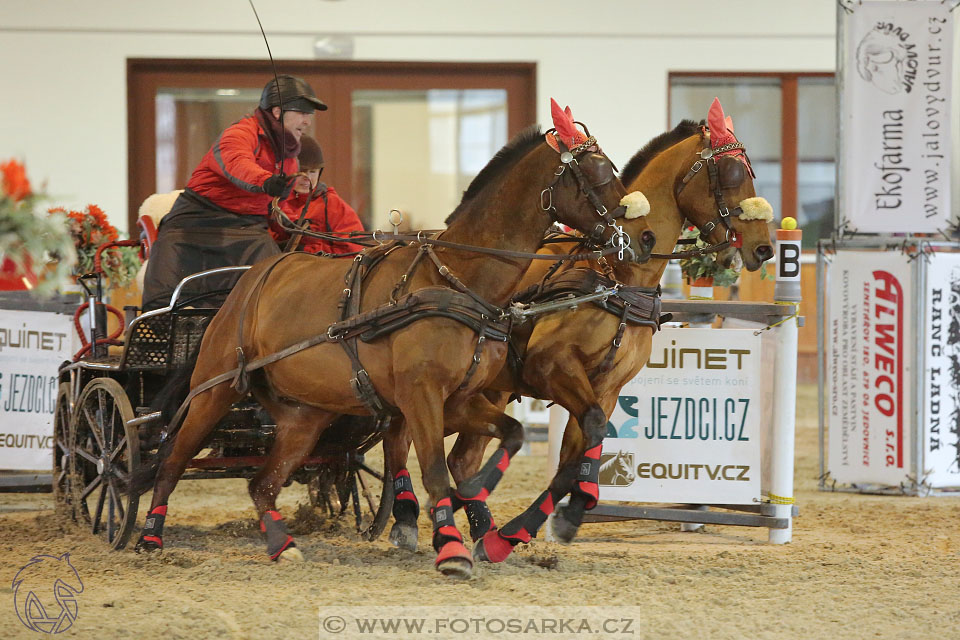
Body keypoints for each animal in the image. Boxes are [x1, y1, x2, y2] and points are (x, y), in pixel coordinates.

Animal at [135, 101, 656, 580]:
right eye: (597, 174)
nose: (645, 237)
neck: (455, 278)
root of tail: (250, 278)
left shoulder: (460, 398)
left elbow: (505, 437)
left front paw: (478, 506)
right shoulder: (422, 395)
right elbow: (435, 468)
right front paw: (452, 547)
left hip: (305, 415)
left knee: (262, 484)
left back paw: (283, 545)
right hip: (215, 390)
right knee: (173, 460)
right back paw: (148, 538)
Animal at [380, 97, 772, 564]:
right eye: (732, 174)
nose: (765, 248)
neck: (616, 276)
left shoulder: (605, 387)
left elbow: (579, 452)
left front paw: (535, 527)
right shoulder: (552, 368)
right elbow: (590, 434)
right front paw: (546, 520)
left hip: (488, 390)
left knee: (457, 458)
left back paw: (477, 526)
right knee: (400, 437)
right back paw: (406, 518)